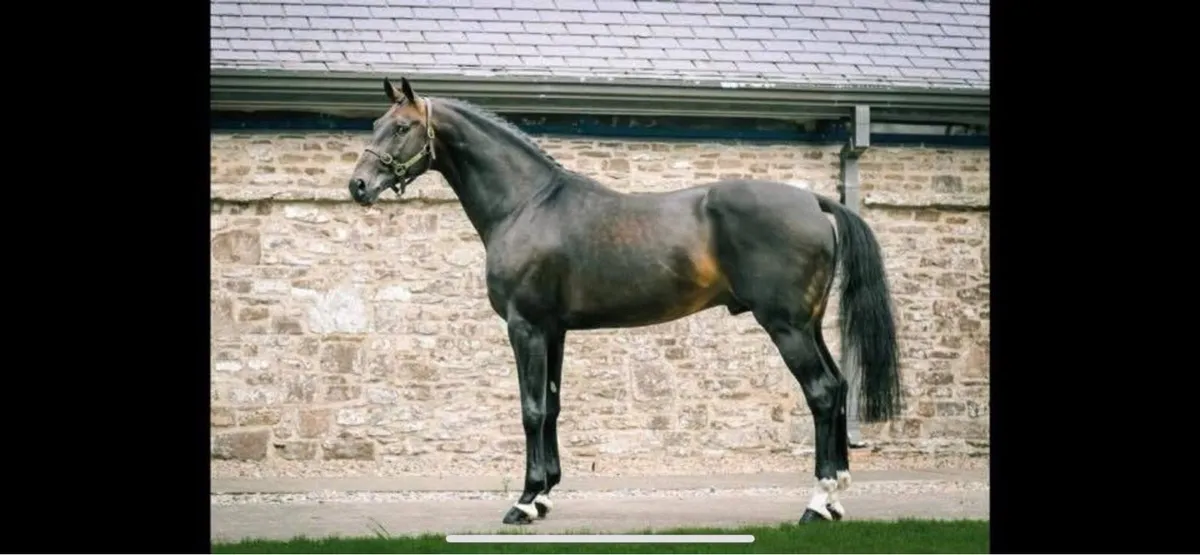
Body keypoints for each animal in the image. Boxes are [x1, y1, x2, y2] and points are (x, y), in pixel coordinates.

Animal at [347, 77, 903, 526]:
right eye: (375, 122)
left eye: (401, 127)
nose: (357, 186)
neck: (527, 204)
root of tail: (814, 201)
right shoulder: (554, 331)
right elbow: (553, 406)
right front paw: (545, 496)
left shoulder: (525, 327)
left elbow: (530, 409)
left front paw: (524, 503)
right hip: (808, 324)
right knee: (839, 386)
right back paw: (835, 499)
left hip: (786, 326)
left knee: (823, 393)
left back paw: (816, 503)